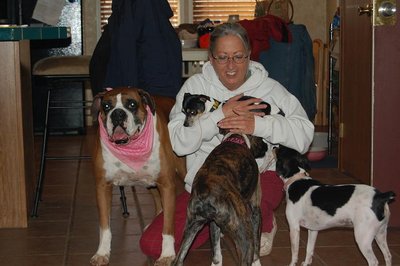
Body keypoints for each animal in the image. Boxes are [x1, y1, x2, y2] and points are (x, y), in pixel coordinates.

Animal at [90, 87, 185, 264]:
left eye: (132, 104)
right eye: (106, 106)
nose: (117, 113)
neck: (130, 147)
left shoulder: (167, 185)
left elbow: (168, 226)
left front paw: (167, 255)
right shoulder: (102, 187)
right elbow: (104, 226)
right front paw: (102, 252)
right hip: (150, 183)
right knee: (158, 201)